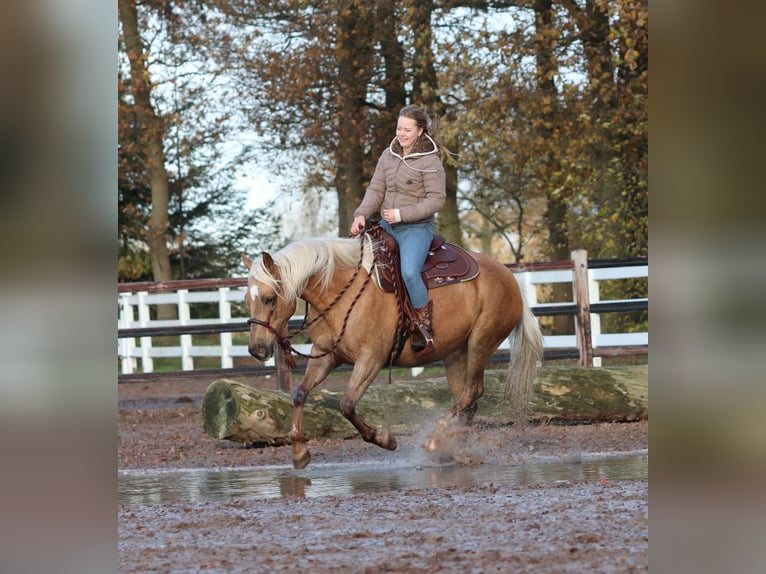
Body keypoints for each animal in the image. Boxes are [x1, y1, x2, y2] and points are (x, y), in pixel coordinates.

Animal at [243, 235, 544, 472]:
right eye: (247, 299)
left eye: (269, 298)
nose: (257, 349)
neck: (341, 291)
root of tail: (509, 277)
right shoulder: (326, 355)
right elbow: (299, 394)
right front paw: (299, 453)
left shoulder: (371, 359)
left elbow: (346, 405)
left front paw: (385, 439)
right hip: (456, 353)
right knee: (468, 401)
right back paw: (453, 449)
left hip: (481, 342)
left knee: (472, 392)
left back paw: (433, 441)